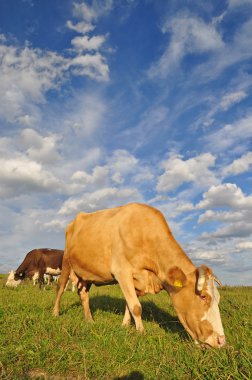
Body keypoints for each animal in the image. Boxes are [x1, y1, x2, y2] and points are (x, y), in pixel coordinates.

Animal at [53, 203, 226, 348]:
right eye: (203, 296)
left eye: (218, 299)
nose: (221, 340)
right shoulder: (122, 272)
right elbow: (136, 307)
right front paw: (141, 333)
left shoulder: (137, 279)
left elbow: (129, 305)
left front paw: (124, 326)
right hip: (66, 262)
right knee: (60, 288)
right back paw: (55, 313)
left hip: (87, 273)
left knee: (83, 293)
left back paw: (89, 320)